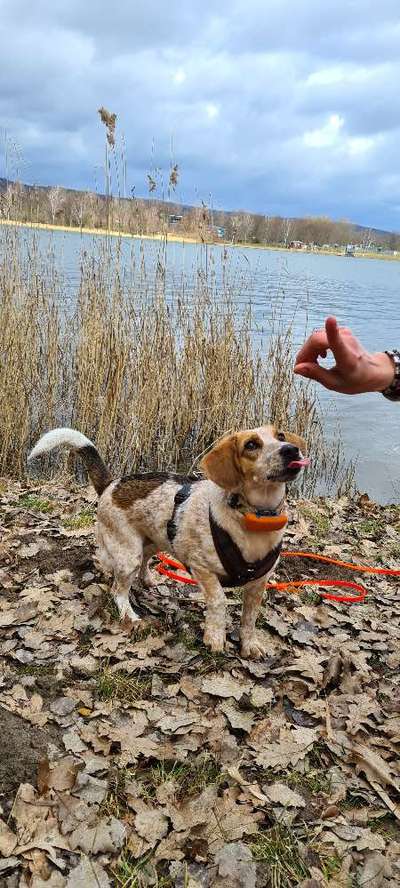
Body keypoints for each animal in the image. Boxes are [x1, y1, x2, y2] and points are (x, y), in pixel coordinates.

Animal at [28, 426, 310, 656]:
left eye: (281, 436)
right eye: (251, 445)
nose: (291, 449)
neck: (255, 518)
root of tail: (112, 484)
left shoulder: (258, 583)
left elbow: (249, 618)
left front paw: (249, 644)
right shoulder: (202, 569)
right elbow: (219, 600)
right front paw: (214, 637)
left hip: (155, 540)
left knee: (144, 562)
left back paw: (148, 579)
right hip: (128, 555)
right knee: (118, 591)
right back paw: (131, 616)